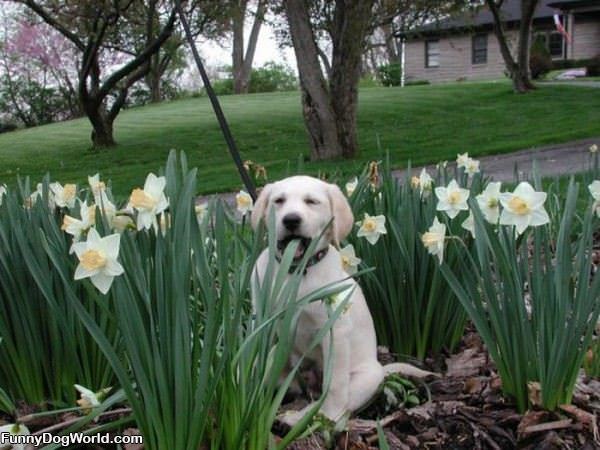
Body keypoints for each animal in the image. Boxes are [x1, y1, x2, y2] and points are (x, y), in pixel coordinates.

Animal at [250, 175, 384, 426]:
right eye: (279, 201)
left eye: (311, 201)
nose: (291, 220)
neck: (296, 273)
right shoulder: (264, 321)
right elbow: (257, 361)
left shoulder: (335, 331)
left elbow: (335, 384)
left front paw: (330, 415)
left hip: (370, 376)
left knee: (339, 396)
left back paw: (302, 418)